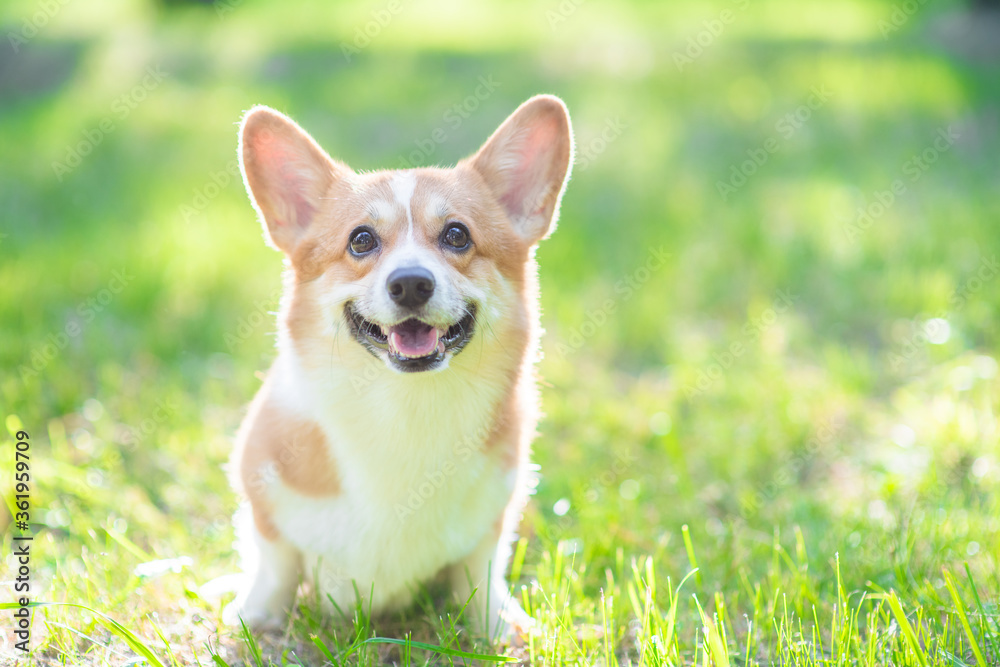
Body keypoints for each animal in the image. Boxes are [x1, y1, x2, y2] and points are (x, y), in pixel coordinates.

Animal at [224, 95, 576, 640]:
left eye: (457, 235)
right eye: (361, 240)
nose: (410, 283)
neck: (406, 404)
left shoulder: (495, 515)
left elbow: (481, 569)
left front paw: (497, 626)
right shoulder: (262, 494)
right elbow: (274, 564)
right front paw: (254, 618)